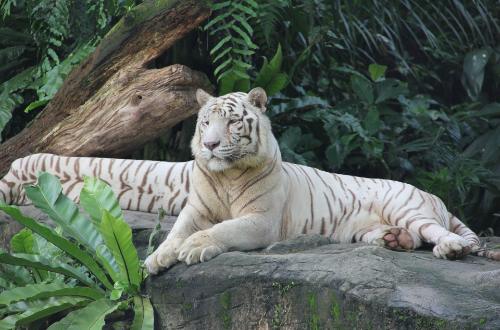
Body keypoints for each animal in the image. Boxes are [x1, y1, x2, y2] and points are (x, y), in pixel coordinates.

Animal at [0, 87, 496, 274]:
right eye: (205, 122)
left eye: (233, 122)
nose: (211, 145)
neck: (223, 177)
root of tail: (433, 195)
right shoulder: (193, 209)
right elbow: (174, 233)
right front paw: (157, 259)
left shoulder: (260, 221)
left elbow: (221, 230)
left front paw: (193, 250)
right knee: (408, 237)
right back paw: (392, 242)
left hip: (409, 206)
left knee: (439, 234)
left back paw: (450, 249)